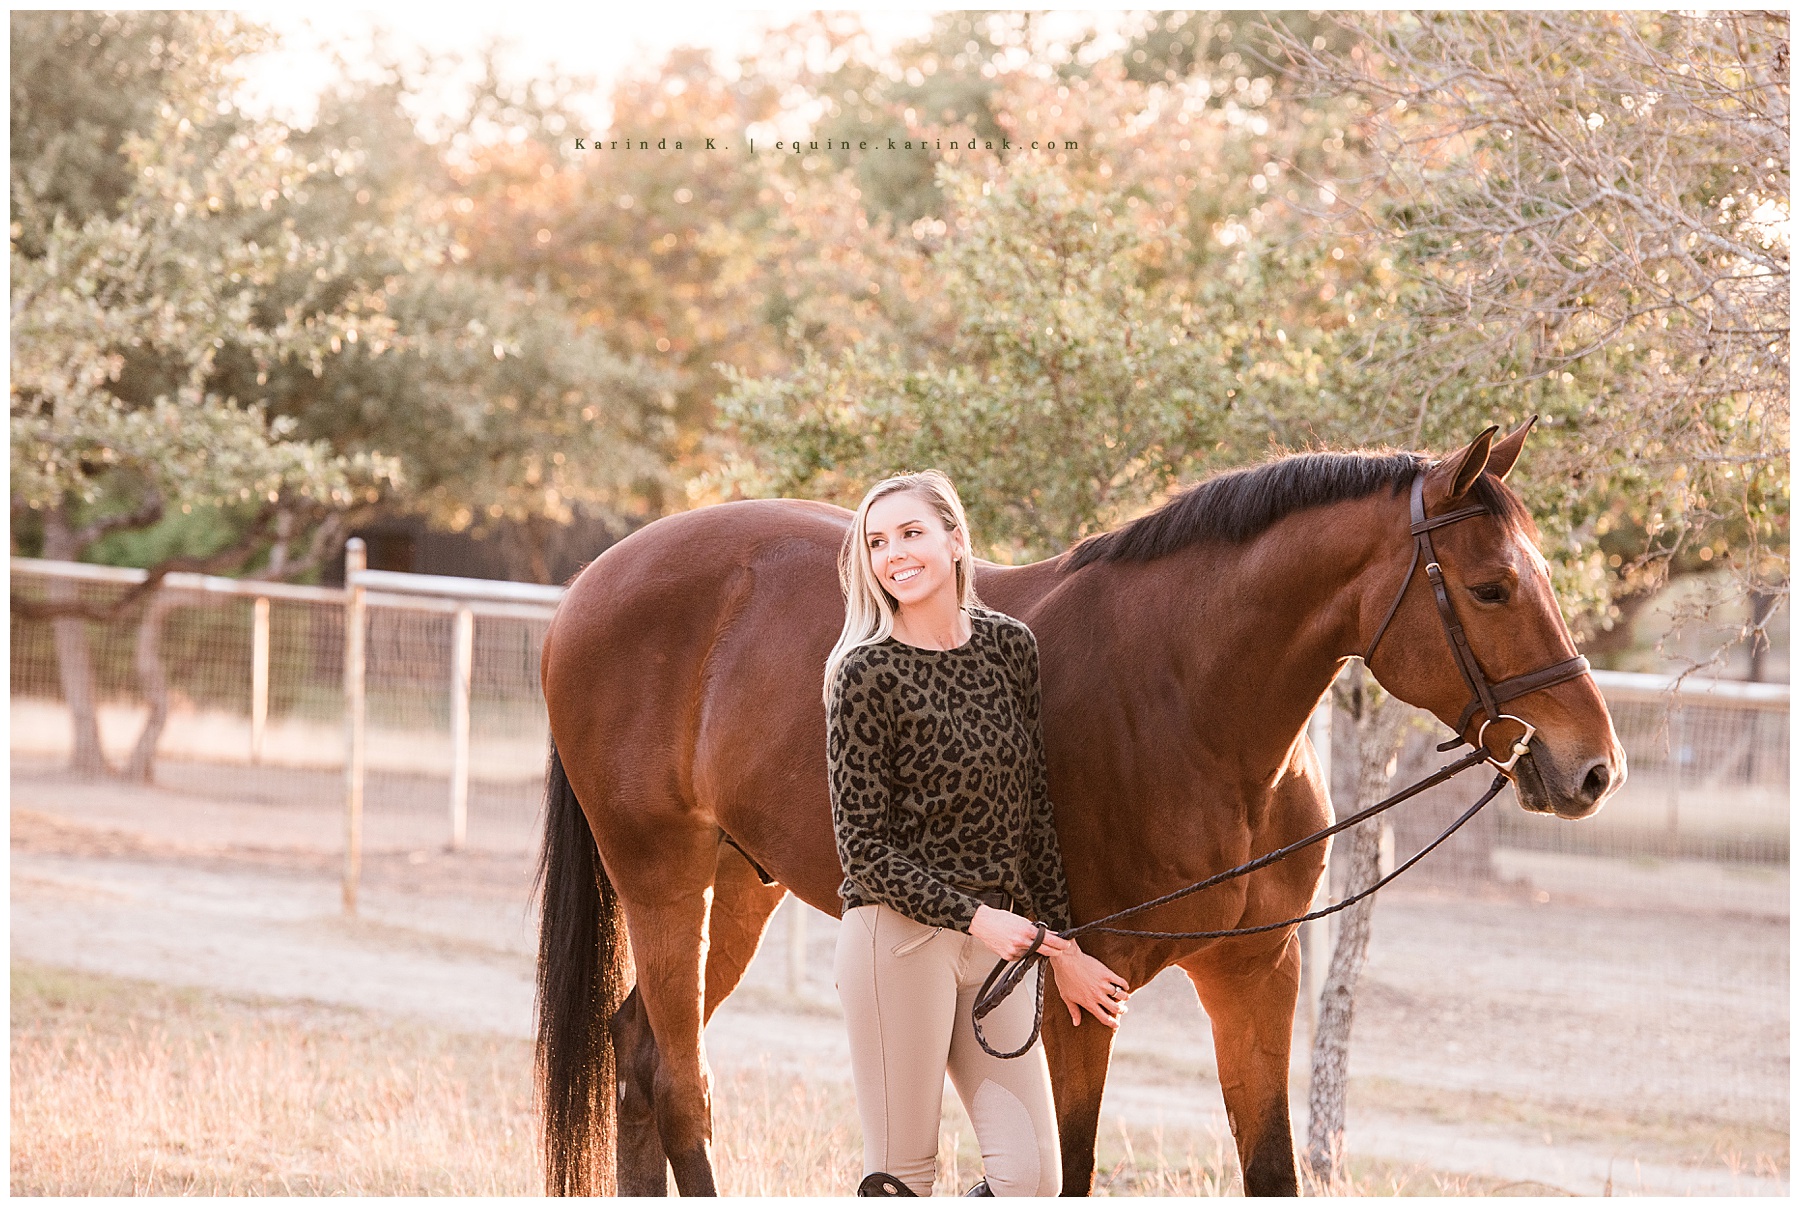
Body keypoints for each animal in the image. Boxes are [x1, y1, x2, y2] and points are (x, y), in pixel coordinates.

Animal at [534, 421, 1626, 1196]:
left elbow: (1270, 1166)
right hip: (666, 882)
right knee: (682, 1087)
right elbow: (1072, 1166)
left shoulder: (1257, 971)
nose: (1592, 768)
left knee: (638, 1056)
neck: (1189, 696)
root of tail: (591, 585)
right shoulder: (1068, 993)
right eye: (1491, 588)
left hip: (739, 888)